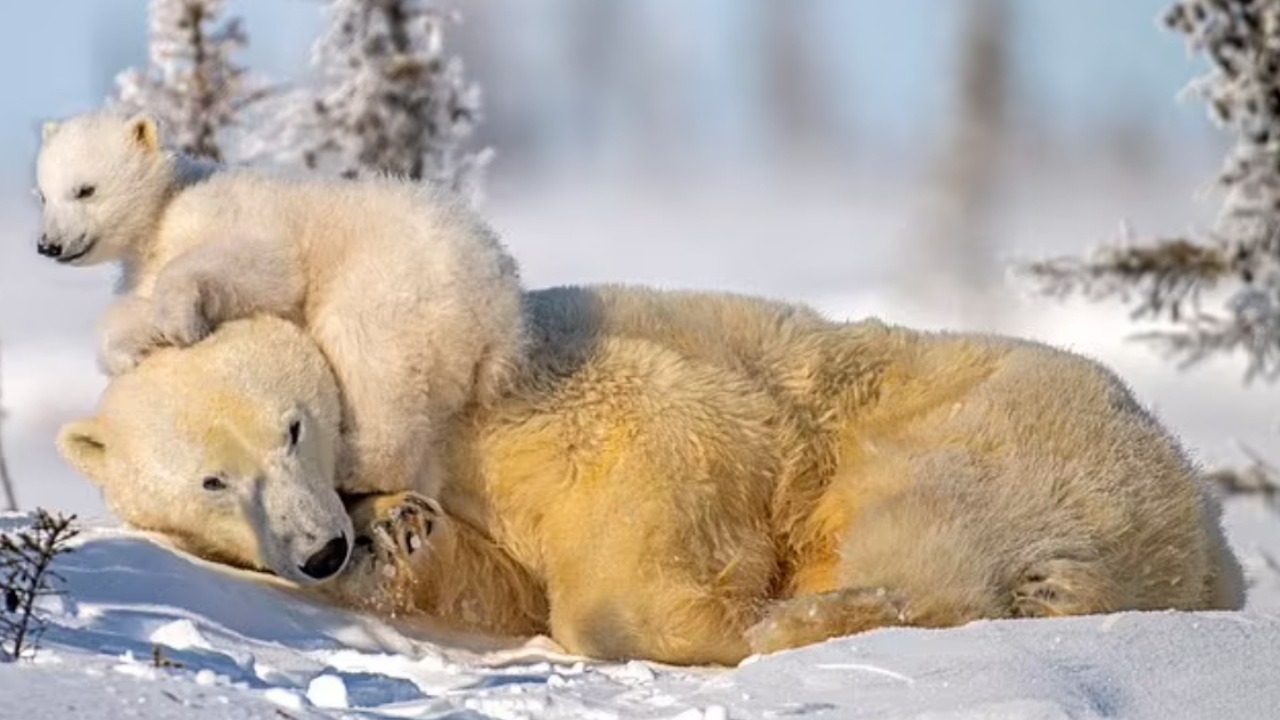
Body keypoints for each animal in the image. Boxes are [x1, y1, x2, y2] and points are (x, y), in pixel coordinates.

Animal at [35, 107, 524, 576]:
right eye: (43, 194)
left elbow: (259, 267)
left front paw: (180, 321)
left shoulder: (231, 216)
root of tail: (498, 321)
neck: (167, 207)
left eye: (85, 190)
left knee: (368, 365)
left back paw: (352, 462)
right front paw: (132, 346)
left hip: (392, 290)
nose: (48, 244)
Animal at [55, 283, 1244, 666]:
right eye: (210, 482)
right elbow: (493, 581)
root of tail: (1206, 544)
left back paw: (804, 617)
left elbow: (652, 472)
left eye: (293, 428)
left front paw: (688, 619)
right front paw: (400, 538)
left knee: (923, 533)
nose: (320, 547)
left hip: (989, 432)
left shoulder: (558, 395)